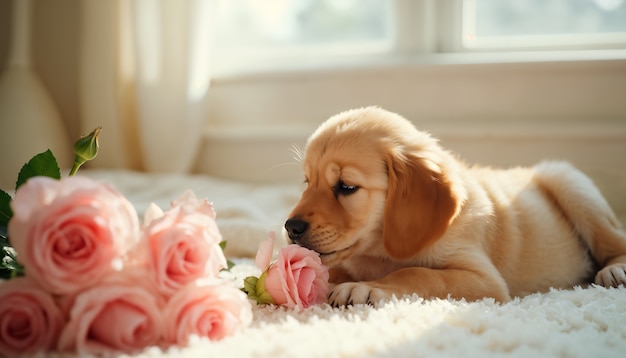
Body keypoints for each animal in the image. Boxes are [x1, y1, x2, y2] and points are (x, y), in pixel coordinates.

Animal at [282, 106, 624, 304]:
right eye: (307, 182)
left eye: (347, 187)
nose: (291, 227)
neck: (381, 250)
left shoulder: (484, 280)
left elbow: (419, 274)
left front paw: (365, 288)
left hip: (571, 185)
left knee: (615, 241)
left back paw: (615, 270)